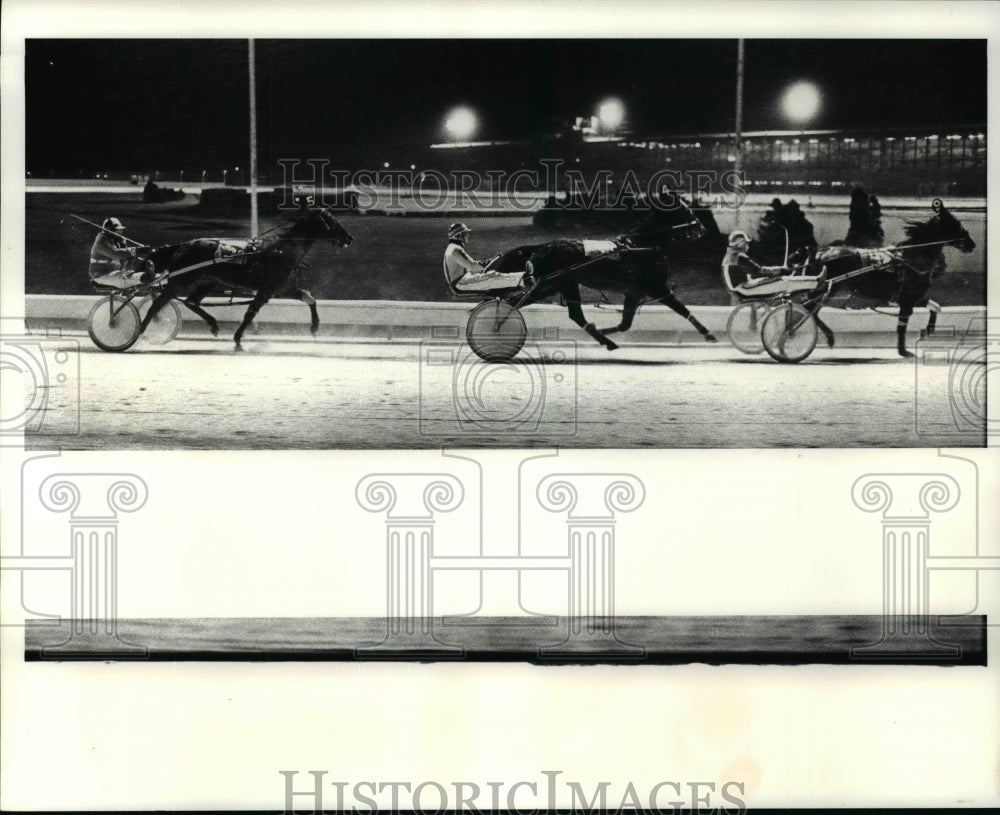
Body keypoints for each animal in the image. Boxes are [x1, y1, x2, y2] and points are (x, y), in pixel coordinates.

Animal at [136, 206, 356, 350]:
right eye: (333, 221)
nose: (349, 238)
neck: (281, 252)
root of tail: (184, 245)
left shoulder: (283, 288)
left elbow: (310, 298)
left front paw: (315, 326)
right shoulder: (265, 291)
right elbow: (250, 314)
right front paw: (237, 339)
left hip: (208, 281)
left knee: (191, 301)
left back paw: (213, 325)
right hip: (180, 280)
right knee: (158, 304)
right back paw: (139, 331)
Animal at [488, 198, 716, 354]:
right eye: (687, 211)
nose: (703, 229)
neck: (642, 246)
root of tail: (543, 247)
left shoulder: (634, 292)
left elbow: (625, 324)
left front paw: (605, 330)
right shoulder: (657, 288)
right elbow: (682, 310)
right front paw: (708, 334)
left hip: (547, 286)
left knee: (513, 301)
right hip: (566, 282)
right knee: (575, 315)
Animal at [804, 198, 976, 356]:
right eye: (955, 225)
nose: (971, 244)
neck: (910, 258)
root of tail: (820, 252)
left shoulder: (914, 297)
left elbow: (935, 307)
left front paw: (928, 330)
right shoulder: (907, 301)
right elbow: (901, 326)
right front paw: (903, 351)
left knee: (813, 312)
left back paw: (828, 337)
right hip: (827, 290)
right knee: (809, 310)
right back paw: (826, 337)